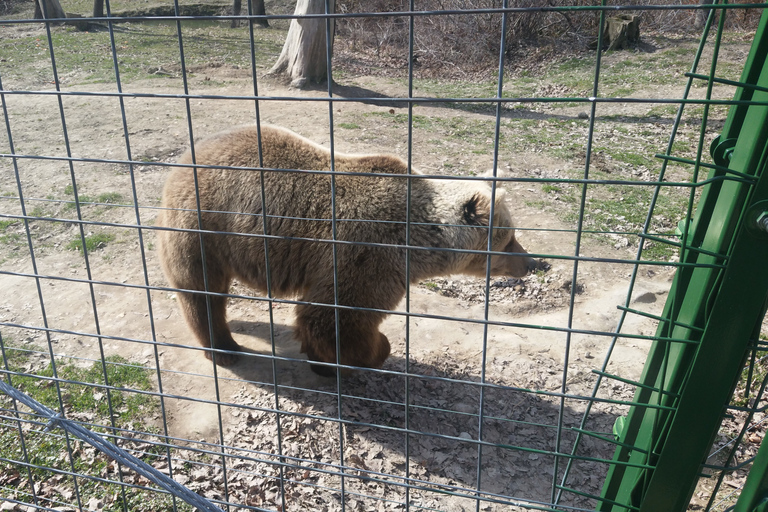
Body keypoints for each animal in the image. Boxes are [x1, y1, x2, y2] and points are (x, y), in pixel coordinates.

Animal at [158, 123, 536, 372]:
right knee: (201, 290)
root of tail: (185, 158)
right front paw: (370, 352)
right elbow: (336, 318)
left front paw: (321, 359)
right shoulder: (369, 254)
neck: (420, 240)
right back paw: (223, 348)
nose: (532, 263)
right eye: (510, 240)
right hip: (202, 226)